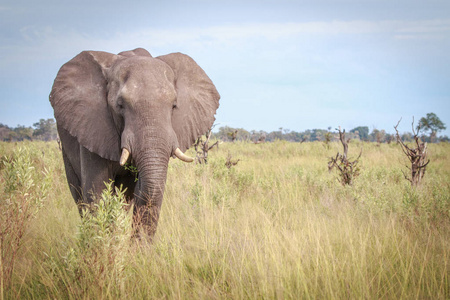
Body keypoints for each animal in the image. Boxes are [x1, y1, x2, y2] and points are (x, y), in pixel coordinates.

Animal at [50, 48, 221, 237]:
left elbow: (144, 191)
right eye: (120, 105)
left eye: (174, 106)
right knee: (79, 195)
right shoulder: (92, 126)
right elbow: (96, 193)